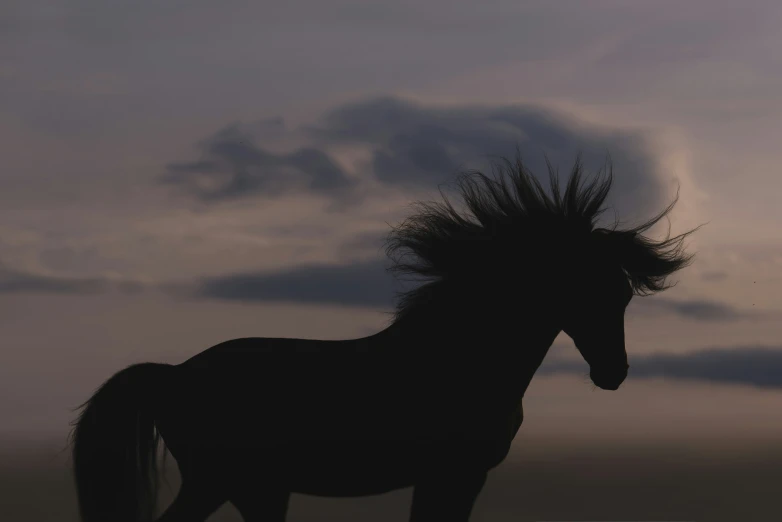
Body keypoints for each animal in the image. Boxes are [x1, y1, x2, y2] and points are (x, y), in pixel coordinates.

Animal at [70, 148, 700, 516]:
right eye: (583, 289)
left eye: (622, 294)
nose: (613, 373)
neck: (460, 359)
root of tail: (173, 374)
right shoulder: (454, 475)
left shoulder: (451, 479)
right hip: (229, 482)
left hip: (252, 488)